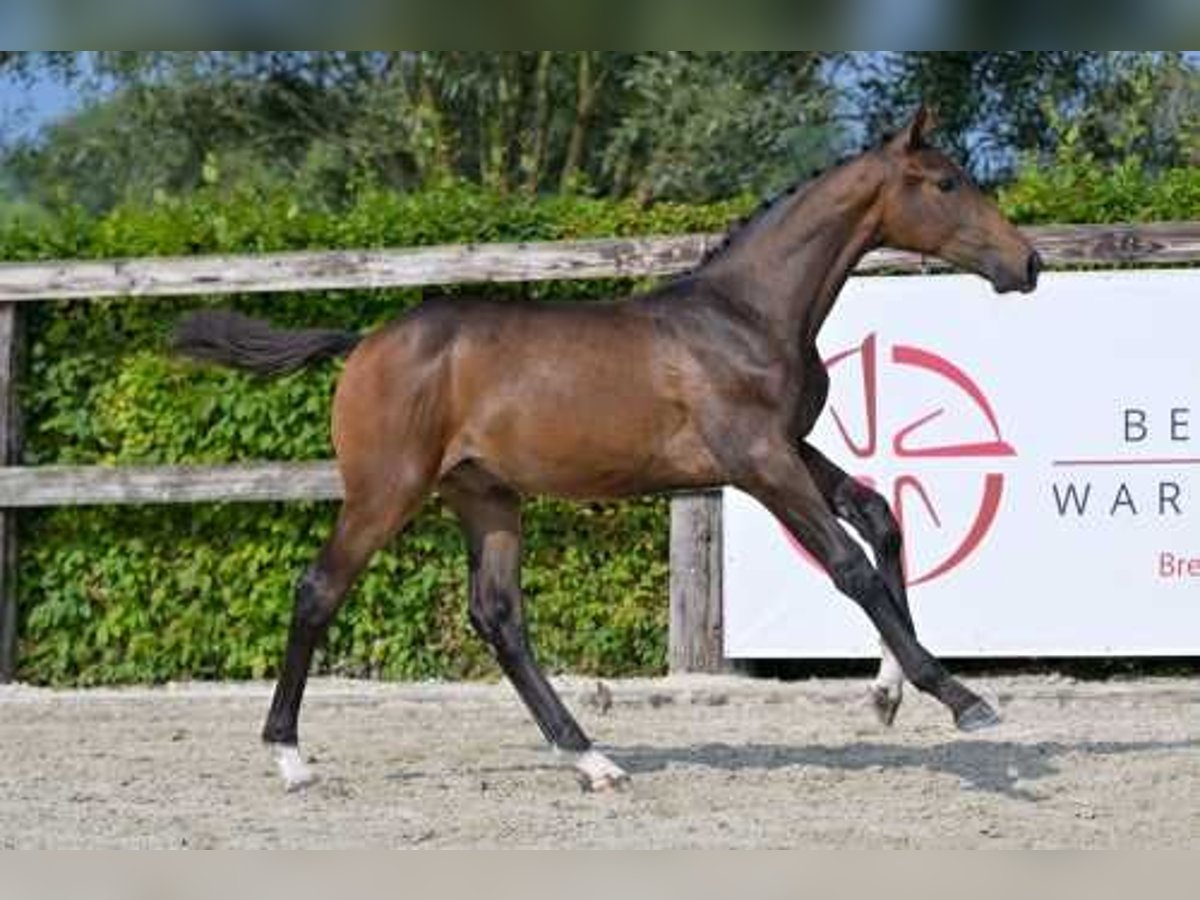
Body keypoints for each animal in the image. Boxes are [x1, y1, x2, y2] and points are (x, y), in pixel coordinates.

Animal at [175, 109, 1041, 792]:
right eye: (946, 182)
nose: (1027, 262)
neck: (746, 314)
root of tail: (364, 342)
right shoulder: (759, 460)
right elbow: (848, 564)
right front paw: (961, 697)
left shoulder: (788, 445)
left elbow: (880, 515)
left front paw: (889, 693)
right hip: (387, 489)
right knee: (319, 590)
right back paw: (290, 757)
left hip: (486, 496)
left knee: (498, 617)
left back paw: (591, 759)